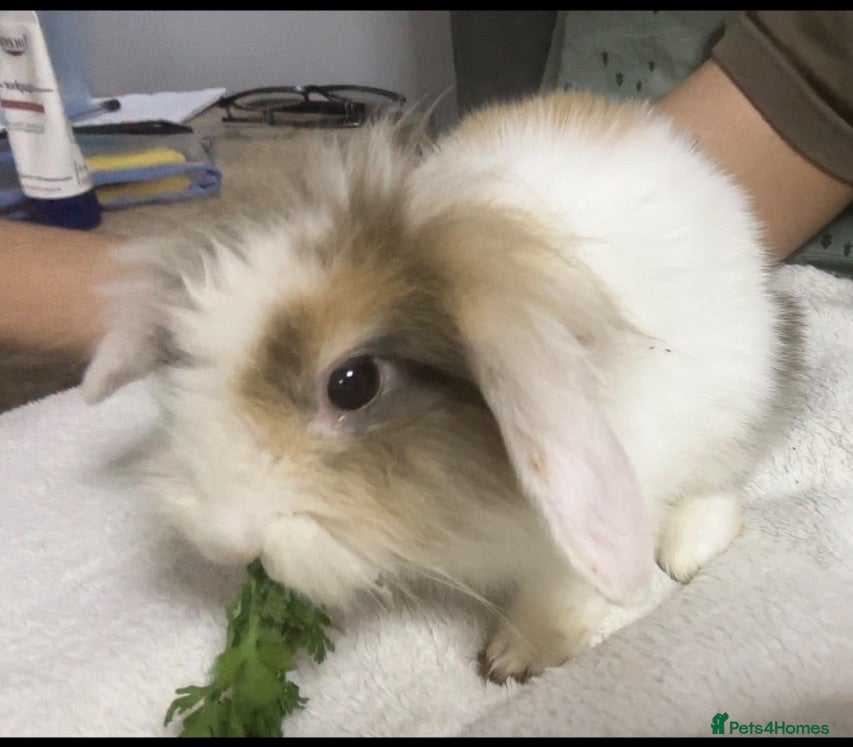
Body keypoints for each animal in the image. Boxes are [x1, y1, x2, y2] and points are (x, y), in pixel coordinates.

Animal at [81, 91, 801, 684]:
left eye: (352, 383)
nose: (222, 539)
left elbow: (560, 586)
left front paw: (515, 655)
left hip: (737, 404)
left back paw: (686, 549)